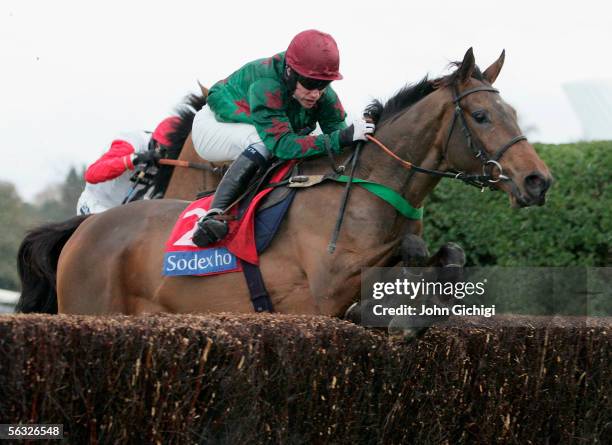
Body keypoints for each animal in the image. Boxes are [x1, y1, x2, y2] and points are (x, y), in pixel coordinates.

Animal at [15, 49, 548, 316]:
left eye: (510, 111)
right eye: (481, 115)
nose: (538, 180)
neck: (367, 186)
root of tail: (84, 229)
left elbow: (448, 256)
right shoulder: (324, 289)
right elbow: (406, 255)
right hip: (92, 311)